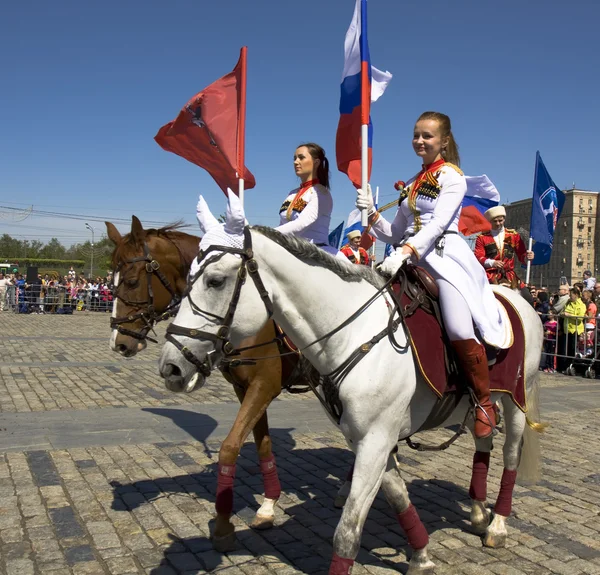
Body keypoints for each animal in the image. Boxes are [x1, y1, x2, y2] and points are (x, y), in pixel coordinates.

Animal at [105, 218, 318, 552]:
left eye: (130, 280)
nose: (119, 343)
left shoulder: (264, 386)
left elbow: (229, 448)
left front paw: (223, 525)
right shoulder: (245, 389)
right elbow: (262, 443)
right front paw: (268, 506)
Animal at [158, 195, 544, 575]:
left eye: (215, 280)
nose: (171, 367)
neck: (352, 332)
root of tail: (517, 297)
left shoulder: (373, 439)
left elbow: (347, 531)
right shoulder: (368, 439)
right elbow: (398, 496)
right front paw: (420, 554)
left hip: (517, 400)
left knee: (510, 454)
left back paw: (497, 524)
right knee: (483, 440)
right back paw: (478, 511)